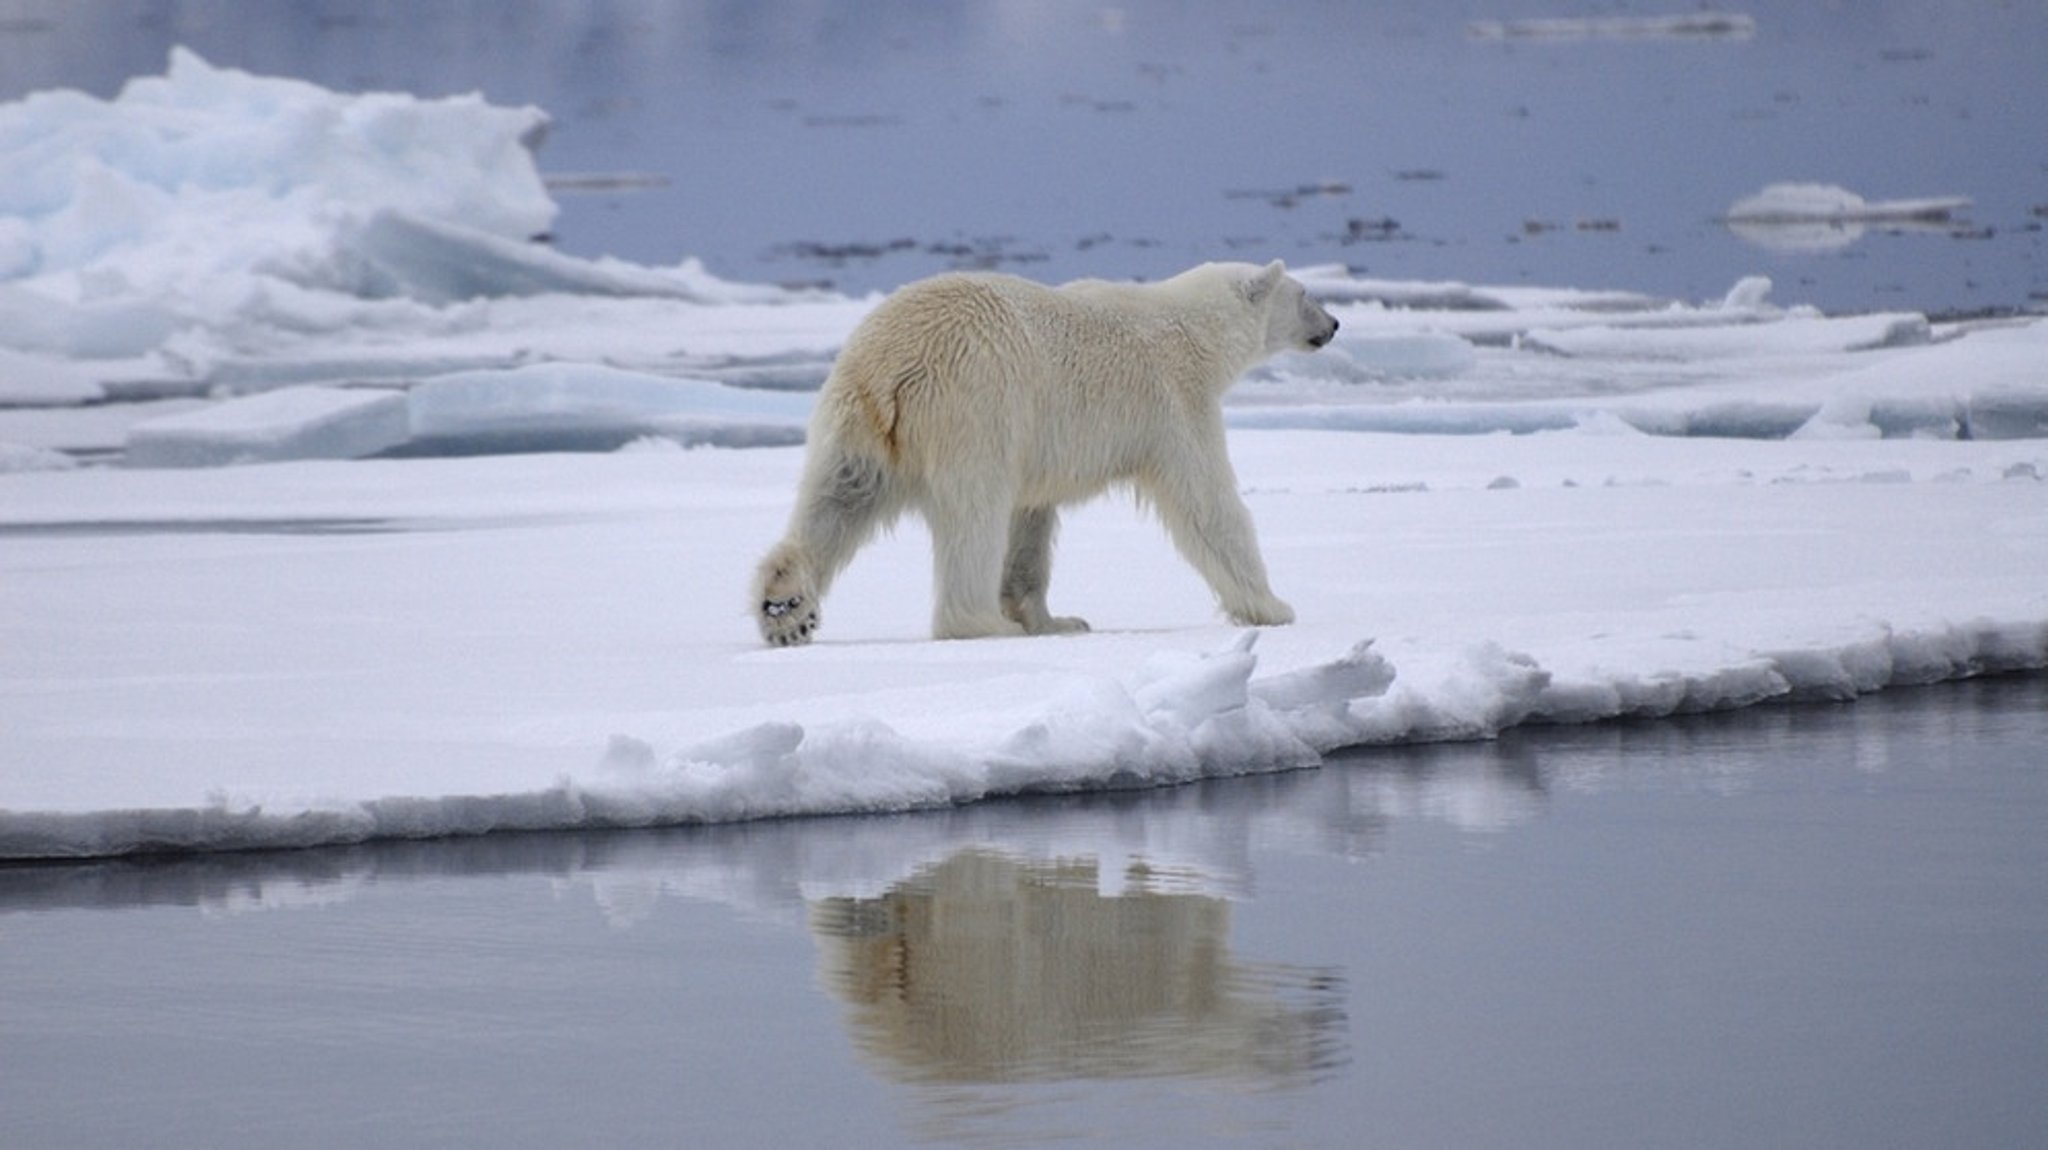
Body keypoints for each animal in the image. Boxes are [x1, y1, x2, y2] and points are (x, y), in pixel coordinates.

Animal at [753, 255, 1343, 646]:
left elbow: (1031, 520)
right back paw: (980, 623)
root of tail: (888, 363)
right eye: (1306, 294)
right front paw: (1273, 607)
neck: (1192, 330)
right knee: (974, 514)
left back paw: (786, 608)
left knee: (836, 499)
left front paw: (1056, 621)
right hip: (973, 404)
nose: (1335, 324)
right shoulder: (1172, 403)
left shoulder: (1044, 442)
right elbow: (1208, 502)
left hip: (854, 421)